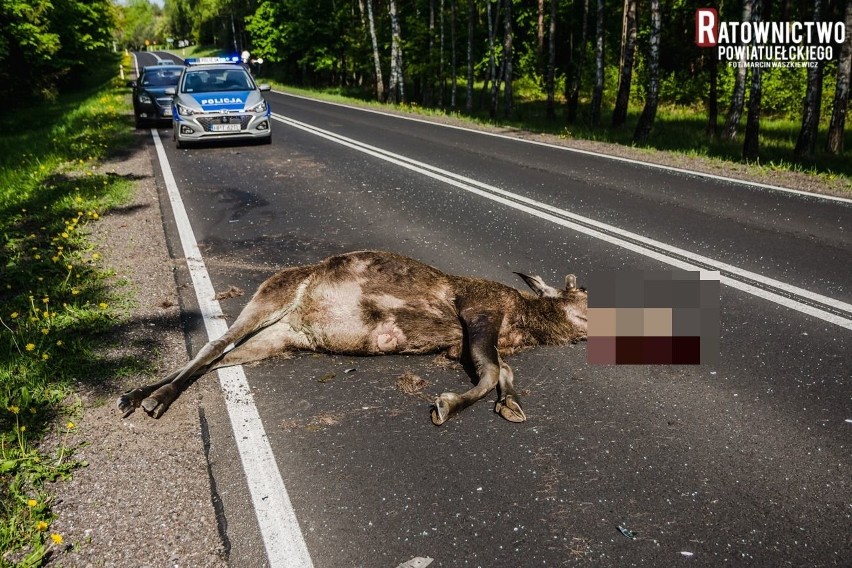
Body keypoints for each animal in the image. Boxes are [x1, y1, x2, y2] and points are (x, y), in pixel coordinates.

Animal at [118, 251, 584, 424]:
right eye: (581, 298)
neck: (525, 323)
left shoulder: (460, 346)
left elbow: (503, 371)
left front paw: (512, 403)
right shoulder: (478, 311)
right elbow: (489, 373)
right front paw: (446, 405)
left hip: (280, 337)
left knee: (218, 357)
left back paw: (136, 393)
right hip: (271, 297)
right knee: (215, 344)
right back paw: (155, 398)